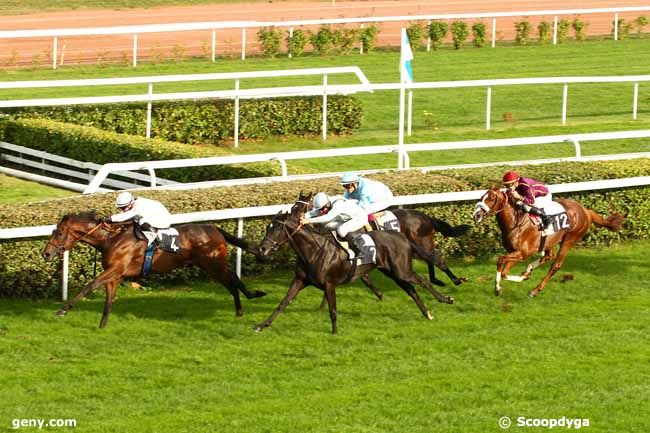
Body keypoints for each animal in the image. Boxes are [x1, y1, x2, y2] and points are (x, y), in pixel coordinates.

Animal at [41, 211, 264, 326]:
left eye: (59, 233)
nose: (46, 254)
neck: (111, 239)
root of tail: (214, 228)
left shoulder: (115, 269)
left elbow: (89, 286)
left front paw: (62, 310)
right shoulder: (115, 274)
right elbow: (109, 299)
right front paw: (102, 325)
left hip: (213, 264)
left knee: (232, 279)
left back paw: (248, 301)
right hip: (209, 266)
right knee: (231, 279)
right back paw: (243, 306)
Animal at [256, 197, 454, 332]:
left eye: (277, 227)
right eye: (267, 227)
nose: (262, 248)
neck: (313, 250)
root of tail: (400, 236)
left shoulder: (330, 284)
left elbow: (333, 309)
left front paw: (334, 332)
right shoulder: (299, 280)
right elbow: (283, 303)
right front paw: (262, 325)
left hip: (402, 270)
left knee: (423, 280)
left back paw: (446, 298)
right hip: (392, 272)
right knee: (412, 290)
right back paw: (427, 313)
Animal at [470, 187, 624, 296]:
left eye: (491, 198)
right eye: (482, 197)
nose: (476, 215)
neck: (516, 222)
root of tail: (585, 210)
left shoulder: (523, 253)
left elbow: (500, 261)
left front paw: (497, 289)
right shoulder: (515, 252)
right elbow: (504, 272)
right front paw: (523, 276)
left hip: (570, 239)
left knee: (555, 265)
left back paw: (534, 290)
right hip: (550, 241)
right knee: (548, 256)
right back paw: (528, 271)